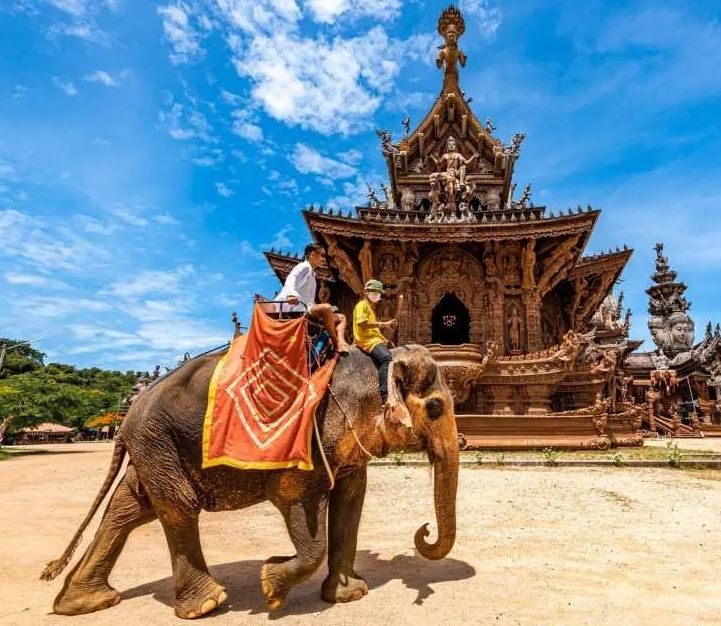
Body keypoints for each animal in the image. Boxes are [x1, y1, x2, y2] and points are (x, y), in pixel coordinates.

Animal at [41, 344, 459, 619]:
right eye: (435, 408)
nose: (423, 530)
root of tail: (127, 417)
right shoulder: (307, 437)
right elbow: (296, 499)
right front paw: (270, 589)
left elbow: (351, 500)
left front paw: (348, 595)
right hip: (158, 443)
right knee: (178, 507)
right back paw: (207, 605)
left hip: (153, 449)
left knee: (128, 510)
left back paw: (84, 604)